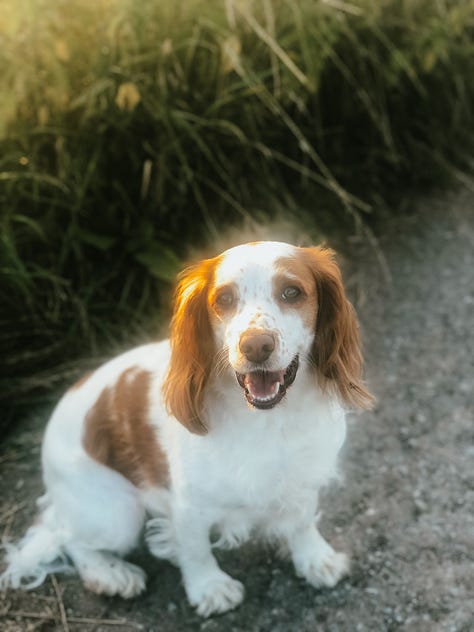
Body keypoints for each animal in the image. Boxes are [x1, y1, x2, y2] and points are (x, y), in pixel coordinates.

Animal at [0, 239, 372, 616]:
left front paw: (316, 560)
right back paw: (112, 574)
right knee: (69, 537)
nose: (255, 346)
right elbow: (196, 549)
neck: (266, 419)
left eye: (292, 292)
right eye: (224, 298)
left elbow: (302, 522)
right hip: (118, 513)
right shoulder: (189, 503)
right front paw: (210, 588)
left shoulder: (303, 476)